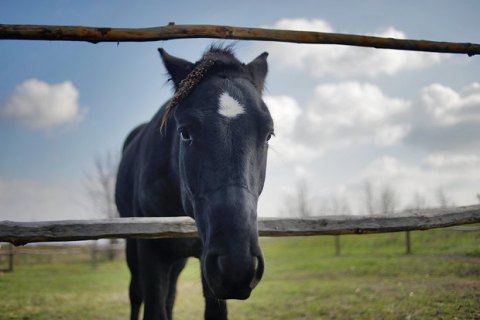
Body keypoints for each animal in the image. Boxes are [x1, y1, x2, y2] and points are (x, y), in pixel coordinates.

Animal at [115, 45, 274, 320]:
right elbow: (153, 308)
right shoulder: (150, 253)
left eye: (268, 134)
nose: (236, 264)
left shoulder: (205, 258)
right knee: (136, 294)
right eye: (185, 132)